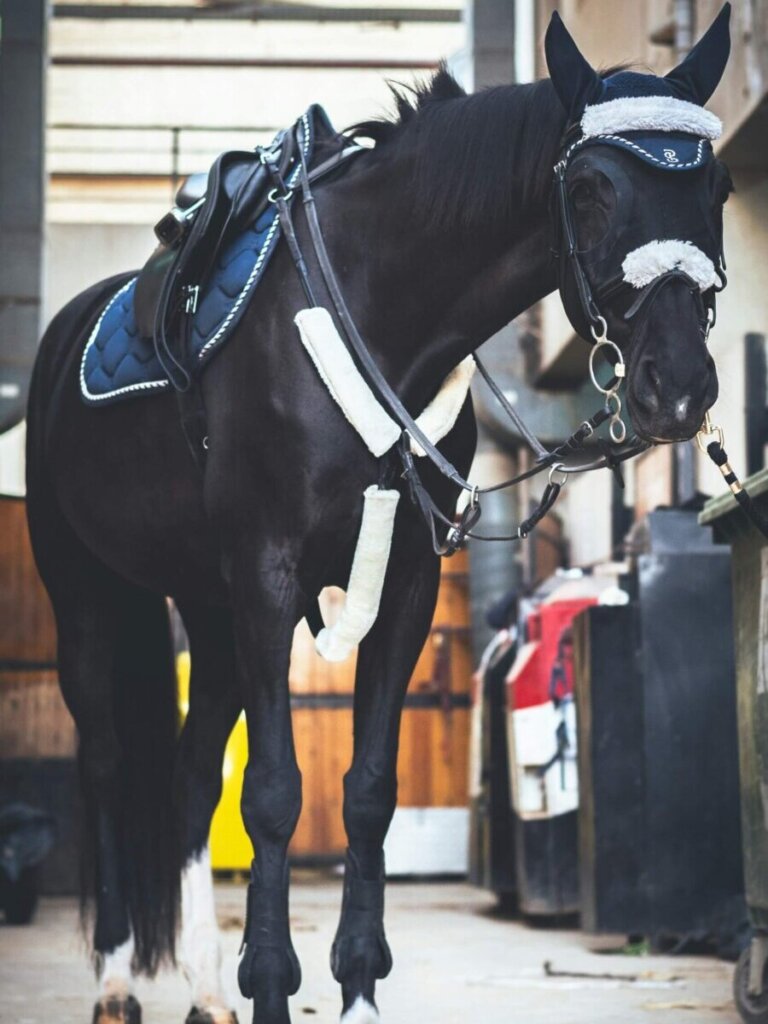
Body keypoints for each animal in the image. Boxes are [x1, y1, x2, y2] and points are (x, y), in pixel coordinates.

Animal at [25, 7, 733, 1024]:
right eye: (593, 187)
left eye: (718, 183)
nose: (677, 386)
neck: (377, 310)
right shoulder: (269, 578)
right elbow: (276, 794)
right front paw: (271, 985)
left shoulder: (404, 585)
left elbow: (366, 790)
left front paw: (348, 985)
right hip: (88, 594)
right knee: (114, 770)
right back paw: (120, 979)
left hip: (210, 609)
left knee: (192, 775)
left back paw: (202, 986)